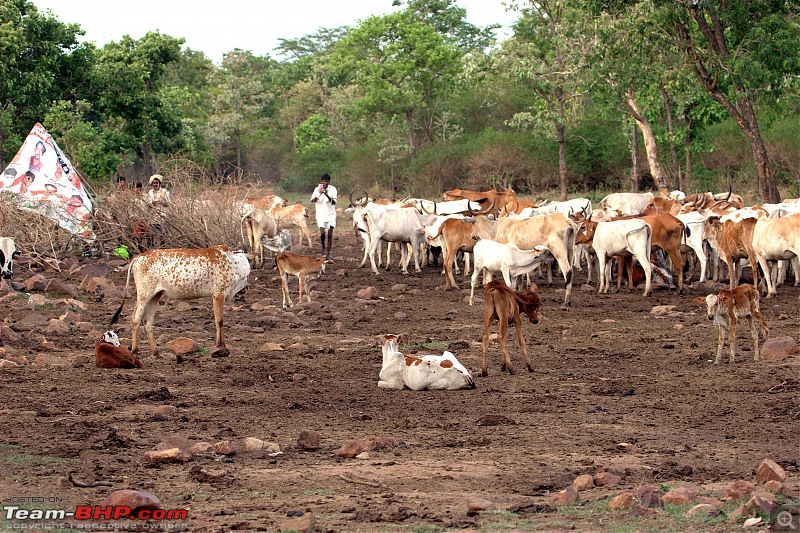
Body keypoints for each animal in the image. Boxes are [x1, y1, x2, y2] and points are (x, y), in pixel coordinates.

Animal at [108, 246, 248, 358]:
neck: (235, 263)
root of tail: (137, 258)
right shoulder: (218, 294)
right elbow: (219, 321)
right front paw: (220, 346)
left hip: (155, 295)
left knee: (147, 322)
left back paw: (156, 352)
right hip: (144, 294)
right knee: (135, 318)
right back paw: (135, 351)